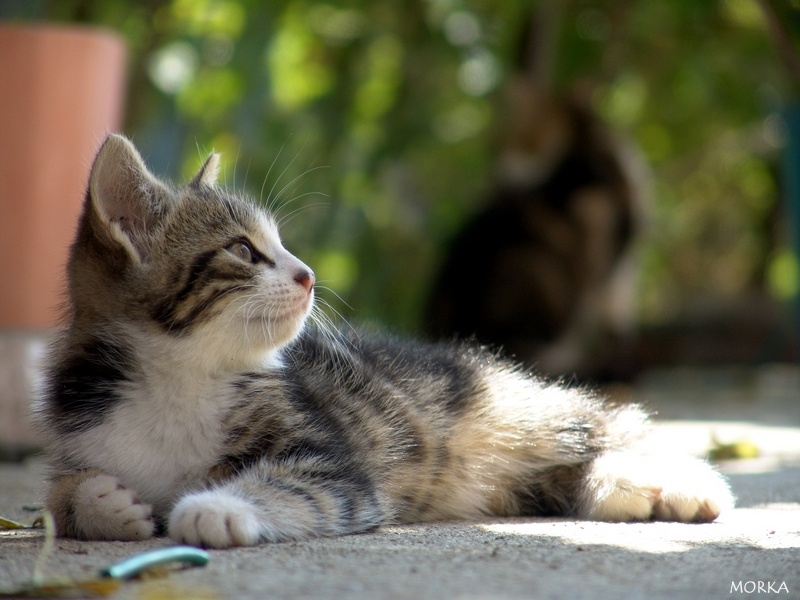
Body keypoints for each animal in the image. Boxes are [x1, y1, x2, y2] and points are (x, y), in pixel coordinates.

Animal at [34, 136, 728, 548]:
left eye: (280, 244)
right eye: (243, 250)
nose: (309, 274)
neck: (178, 377)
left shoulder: (336, 465)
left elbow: (297, 484)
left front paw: (215, 508)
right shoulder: (84, 431)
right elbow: (57, 497)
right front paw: (101, 503)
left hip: (506, 407)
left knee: (604, 425)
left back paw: (689, 484)